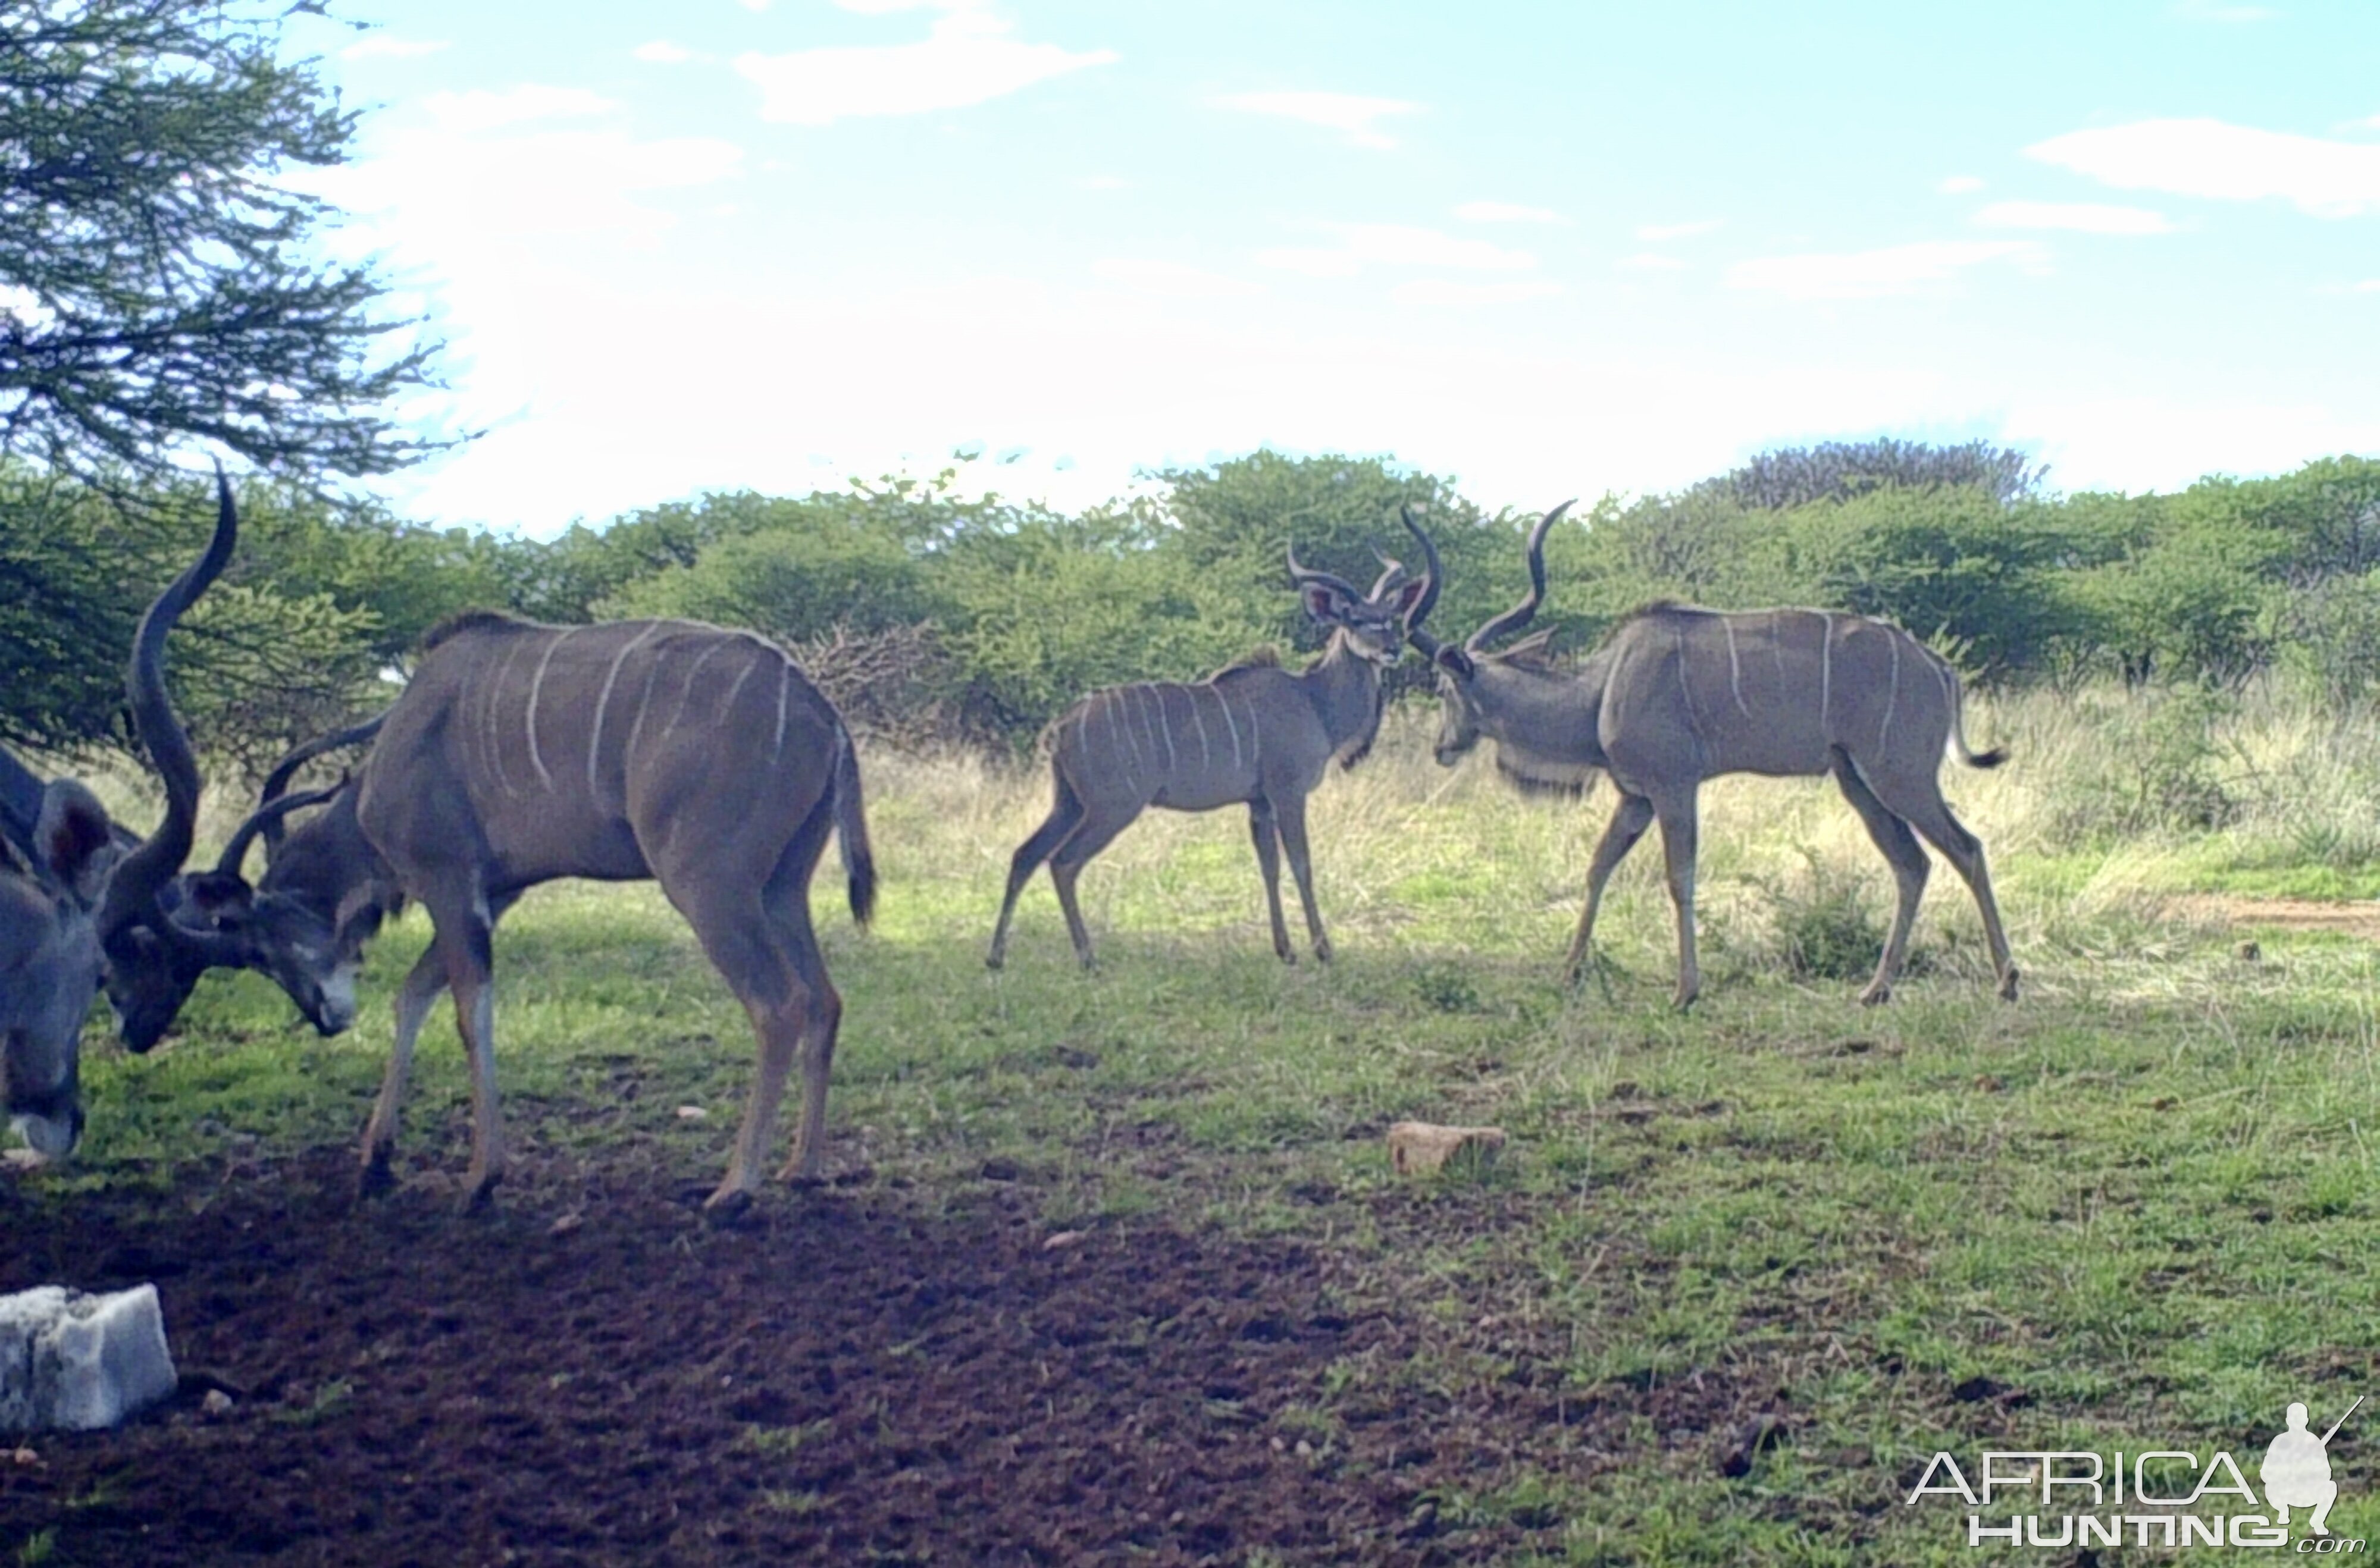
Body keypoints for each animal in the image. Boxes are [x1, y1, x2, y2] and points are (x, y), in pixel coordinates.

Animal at [209, 607, 881, 1209]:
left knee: (779, 1005)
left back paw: (736, 1187)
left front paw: (481, 1178)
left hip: (710, 886)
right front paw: (377, 1160)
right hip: (779, 890)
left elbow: (468, 1012)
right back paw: (802, 1166)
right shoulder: (496, 892)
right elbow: (415, 993)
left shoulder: (450, 883)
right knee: (825, 999)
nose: (325, 1019)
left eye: (259, 945)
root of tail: (823, 712)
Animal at [985, 545, 1428, 976]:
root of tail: (1061, 727)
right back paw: (1088, 960)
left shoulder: (1259, 802)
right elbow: (1301, 863)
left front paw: (1285, 951)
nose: (1392, 650)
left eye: (1390, 618)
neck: (1314, 702)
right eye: (1356, 619)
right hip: (1112, 808)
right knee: (1063, 862)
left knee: (1025, 854)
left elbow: (1269, 865)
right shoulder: (1288, 793)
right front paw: (1323, 950)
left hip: (1069, 803)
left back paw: (996, 958)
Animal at [1399, 509, 2018, 1014]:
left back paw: (2006, 982)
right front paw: (1569, 973)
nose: (1441, 747)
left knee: (1966, 848)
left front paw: (1685, 991)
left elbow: (1680, 877)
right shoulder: (1636, 797)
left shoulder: (1673, 787)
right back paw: (1876, 989)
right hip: (1858, 782)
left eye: (1442, 687)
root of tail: (1940, 668)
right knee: (1912, 863)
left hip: (1900, 775)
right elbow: (1599, 867)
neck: (1602, 691)